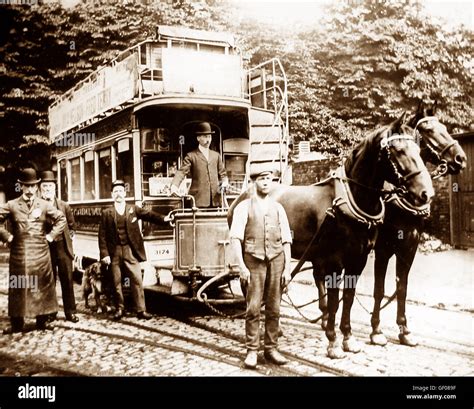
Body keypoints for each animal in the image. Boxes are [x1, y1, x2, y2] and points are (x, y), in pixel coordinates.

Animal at [229, 112, 434, 356]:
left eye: (419, 149)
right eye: (399, 150)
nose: (425, 193)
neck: (348, 202)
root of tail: (240, 197)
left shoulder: (359, 260)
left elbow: (350, 297)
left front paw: (348, 337)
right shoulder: (336, 262)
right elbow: (337, 300)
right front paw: (333, 341)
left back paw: (276, 329)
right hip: (248, 255)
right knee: (250, 288)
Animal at [370, 100, 466, 346]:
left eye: (444, 127)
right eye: (430, 130)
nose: (461, 159)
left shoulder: (409, 247)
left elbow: (401, 288)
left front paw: (405, 330)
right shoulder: (383, 249)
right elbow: (379, 289)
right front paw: (376, 330)